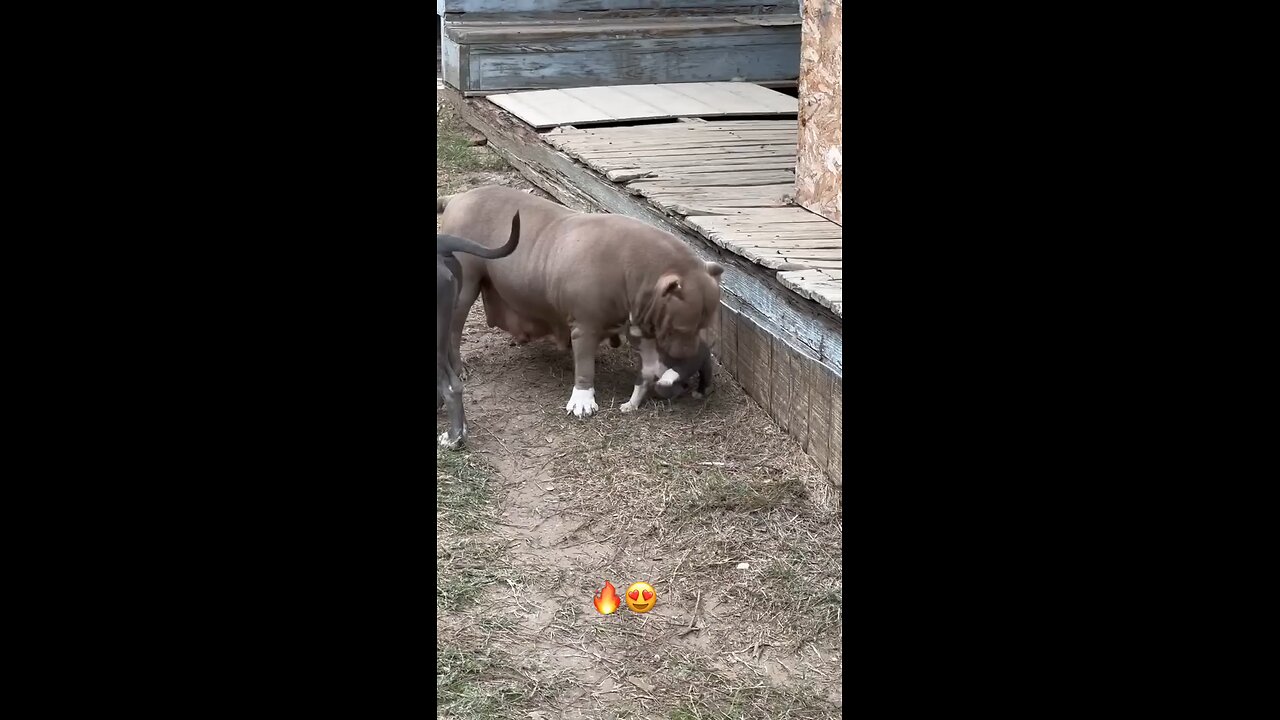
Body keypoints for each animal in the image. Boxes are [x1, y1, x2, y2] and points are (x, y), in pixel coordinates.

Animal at [437, 184, 721, 415]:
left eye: (708, 322)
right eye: (682, 328)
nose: (697, 353)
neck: (636, 269)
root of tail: (457, 197)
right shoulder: (585, 326)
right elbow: (584, 365)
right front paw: (583, 400)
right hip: (465, 290)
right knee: (452, 333)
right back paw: (460, 368)